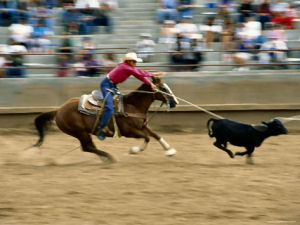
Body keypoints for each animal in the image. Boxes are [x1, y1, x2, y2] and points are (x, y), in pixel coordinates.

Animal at [33, 77, 178, 162]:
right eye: (163, 88)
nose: (175, 102)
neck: (132, 106)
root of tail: (59, 110)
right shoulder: (129, 131)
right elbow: (147, 137)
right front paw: (134, 150)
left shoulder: (142, 126)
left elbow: (155, 135)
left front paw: (170, 151)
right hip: (80, 132)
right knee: (87, 147)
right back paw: (109, 157)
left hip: (82, 133)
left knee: (89, 147)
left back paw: (105, 158)